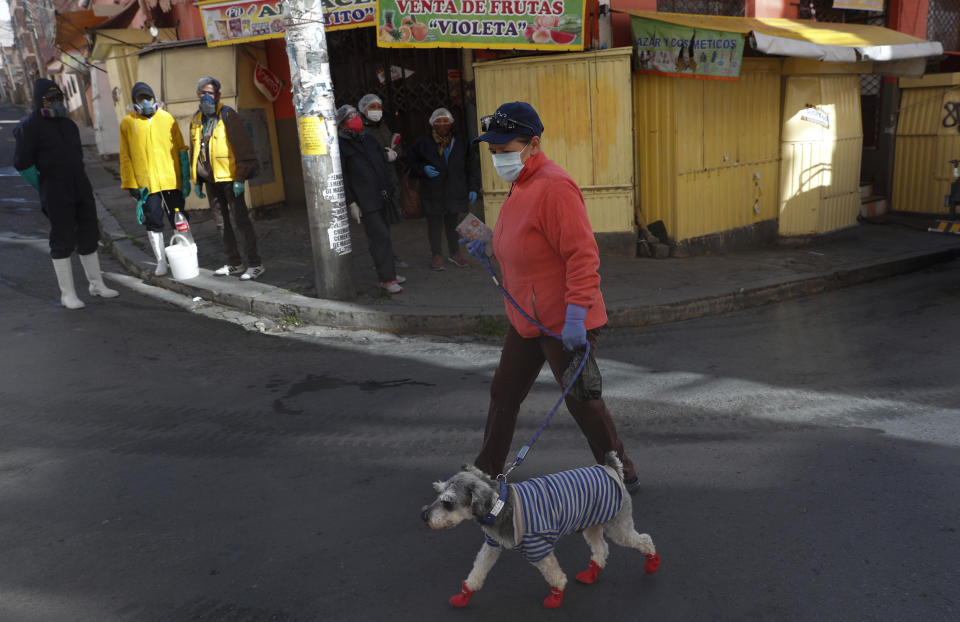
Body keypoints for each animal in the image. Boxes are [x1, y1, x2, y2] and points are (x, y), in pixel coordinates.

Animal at [422, 454, 660, 608]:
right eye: (438, 492)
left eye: (448, 502)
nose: (424, 516)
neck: (500, 505)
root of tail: (610, 469)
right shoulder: (492, 545)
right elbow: (478, 570)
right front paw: (464, 595)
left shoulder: (538, 549)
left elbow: (554, 574)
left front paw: (556, 598)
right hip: (591, 525)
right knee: (601, 548)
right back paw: (591, 574)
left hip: (618, 527)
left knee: (644, 539)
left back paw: (652, 563)